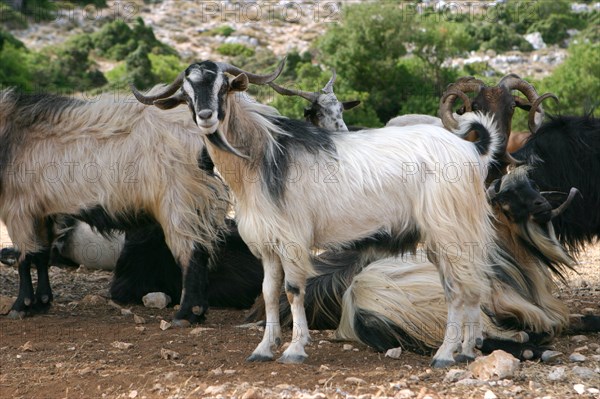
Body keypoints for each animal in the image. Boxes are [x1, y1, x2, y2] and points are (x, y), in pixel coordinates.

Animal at [0, 87, 229, 322]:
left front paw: (21, 306)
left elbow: (24, 258)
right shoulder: (42, 210)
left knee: (192, 252)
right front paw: (42, 302)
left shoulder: (17, 209)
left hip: (180, 200)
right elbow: (41, 255)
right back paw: (197, 312)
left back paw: (185, 314)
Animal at [132, 57, 506, 368]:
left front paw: (295, 349)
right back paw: (467, 350)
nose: (207, 117)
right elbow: (269, 291)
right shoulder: (267, 242)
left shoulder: (294, 238)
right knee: (471, 285)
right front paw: (264, 348)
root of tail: (471, 149)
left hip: (449, 229)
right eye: (187, 93)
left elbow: (293, 290)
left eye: (223, 85)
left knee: (458, 288)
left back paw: (445, 354)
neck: (262, 157)